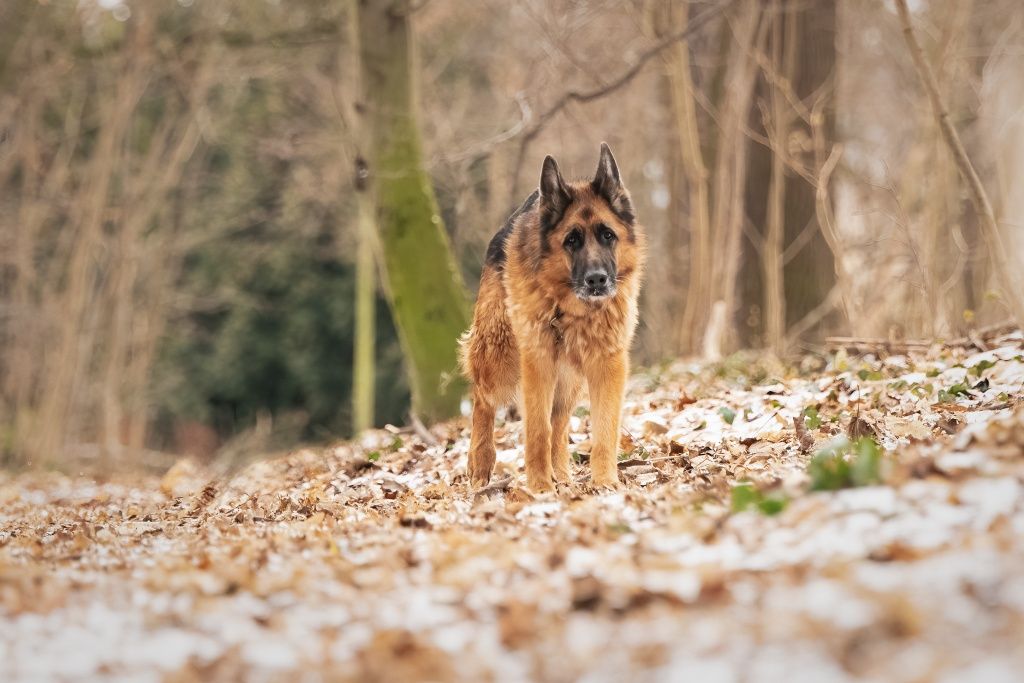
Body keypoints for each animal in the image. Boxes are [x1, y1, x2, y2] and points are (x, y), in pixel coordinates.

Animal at [460, 144, 643, 491]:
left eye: (608, 236)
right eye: (571, 240)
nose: (597, 280)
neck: (573, 309)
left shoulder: (607, 365)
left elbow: (604, 428)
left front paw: (604, 482)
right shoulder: (538, 363)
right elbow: (537, 429)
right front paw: (540, 487)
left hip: (570, 378)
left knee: (559, 421)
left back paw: (562, 474)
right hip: (500, 356)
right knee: (482, 400)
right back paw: (480, 463)